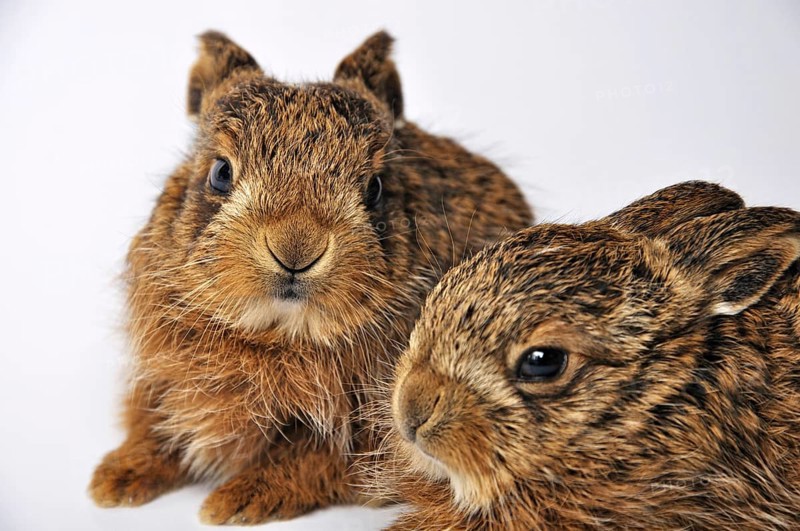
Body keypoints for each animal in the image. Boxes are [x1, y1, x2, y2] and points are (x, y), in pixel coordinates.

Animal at [88, 30, 532, 524]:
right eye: (220, 173)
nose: (296, 248)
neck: (277, 333)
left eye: (374, 188)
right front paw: (115, 479)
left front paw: (234, 501)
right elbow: (157, 427)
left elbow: (311, 462)